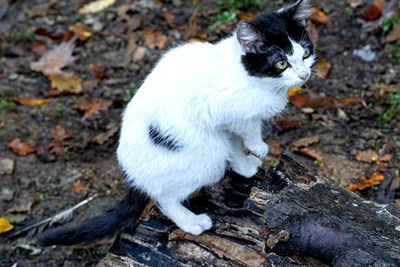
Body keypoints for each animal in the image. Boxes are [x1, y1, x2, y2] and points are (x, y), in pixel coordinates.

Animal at [38, 0, 316, 247]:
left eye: (306, 53)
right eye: (281, 63)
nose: (304, 75)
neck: (251, 77)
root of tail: (134, 177)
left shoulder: (225, 124)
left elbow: (235, 141)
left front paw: (245, 165)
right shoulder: (216, 107)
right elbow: (246, 127)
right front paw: (258, 147)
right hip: (205, 160)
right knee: (164, 197)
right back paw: (191, 222)